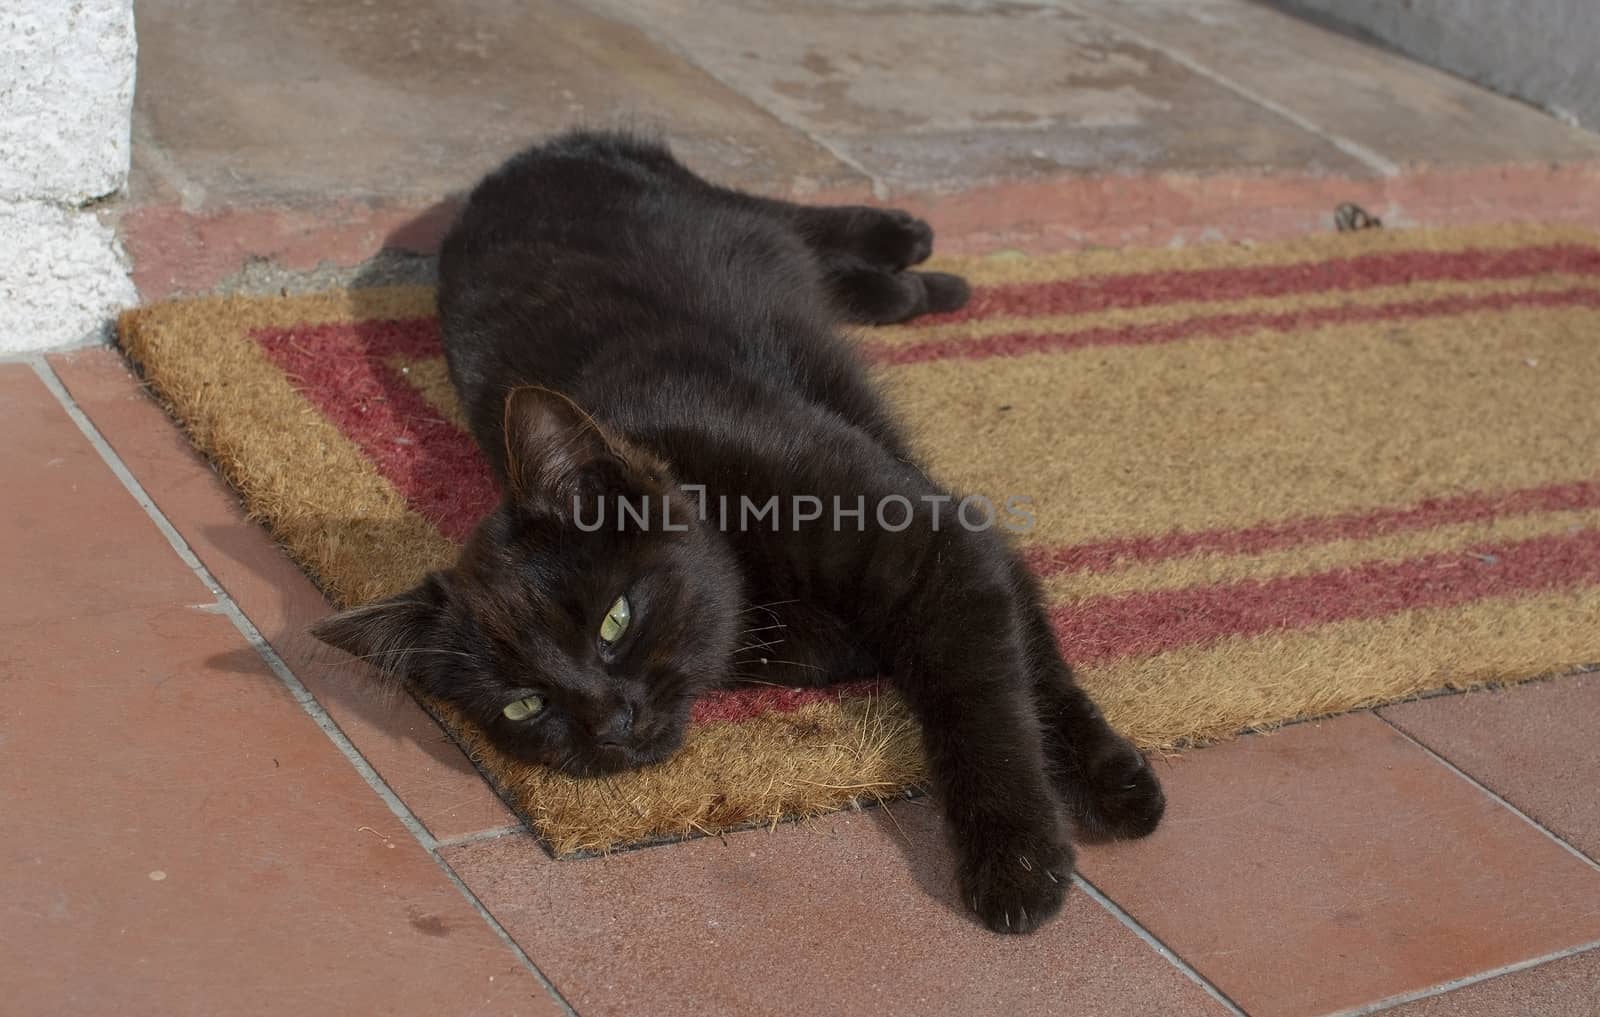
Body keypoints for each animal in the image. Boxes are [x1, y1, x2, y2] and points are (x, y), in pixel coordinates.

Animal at [312, 131, 1164, 933]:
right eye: (524, 707)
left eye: (614, 619)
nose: (610, 721)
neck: (747, 563)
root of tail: (519, 160)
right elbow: (1016, 664)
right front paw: (1090, 794)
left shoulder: (940, 539)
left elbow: (988, 698)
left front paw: (1029, 849)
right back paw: (913, 279)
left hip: (707, 208)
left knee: (778, 214)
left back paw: (905, 236)